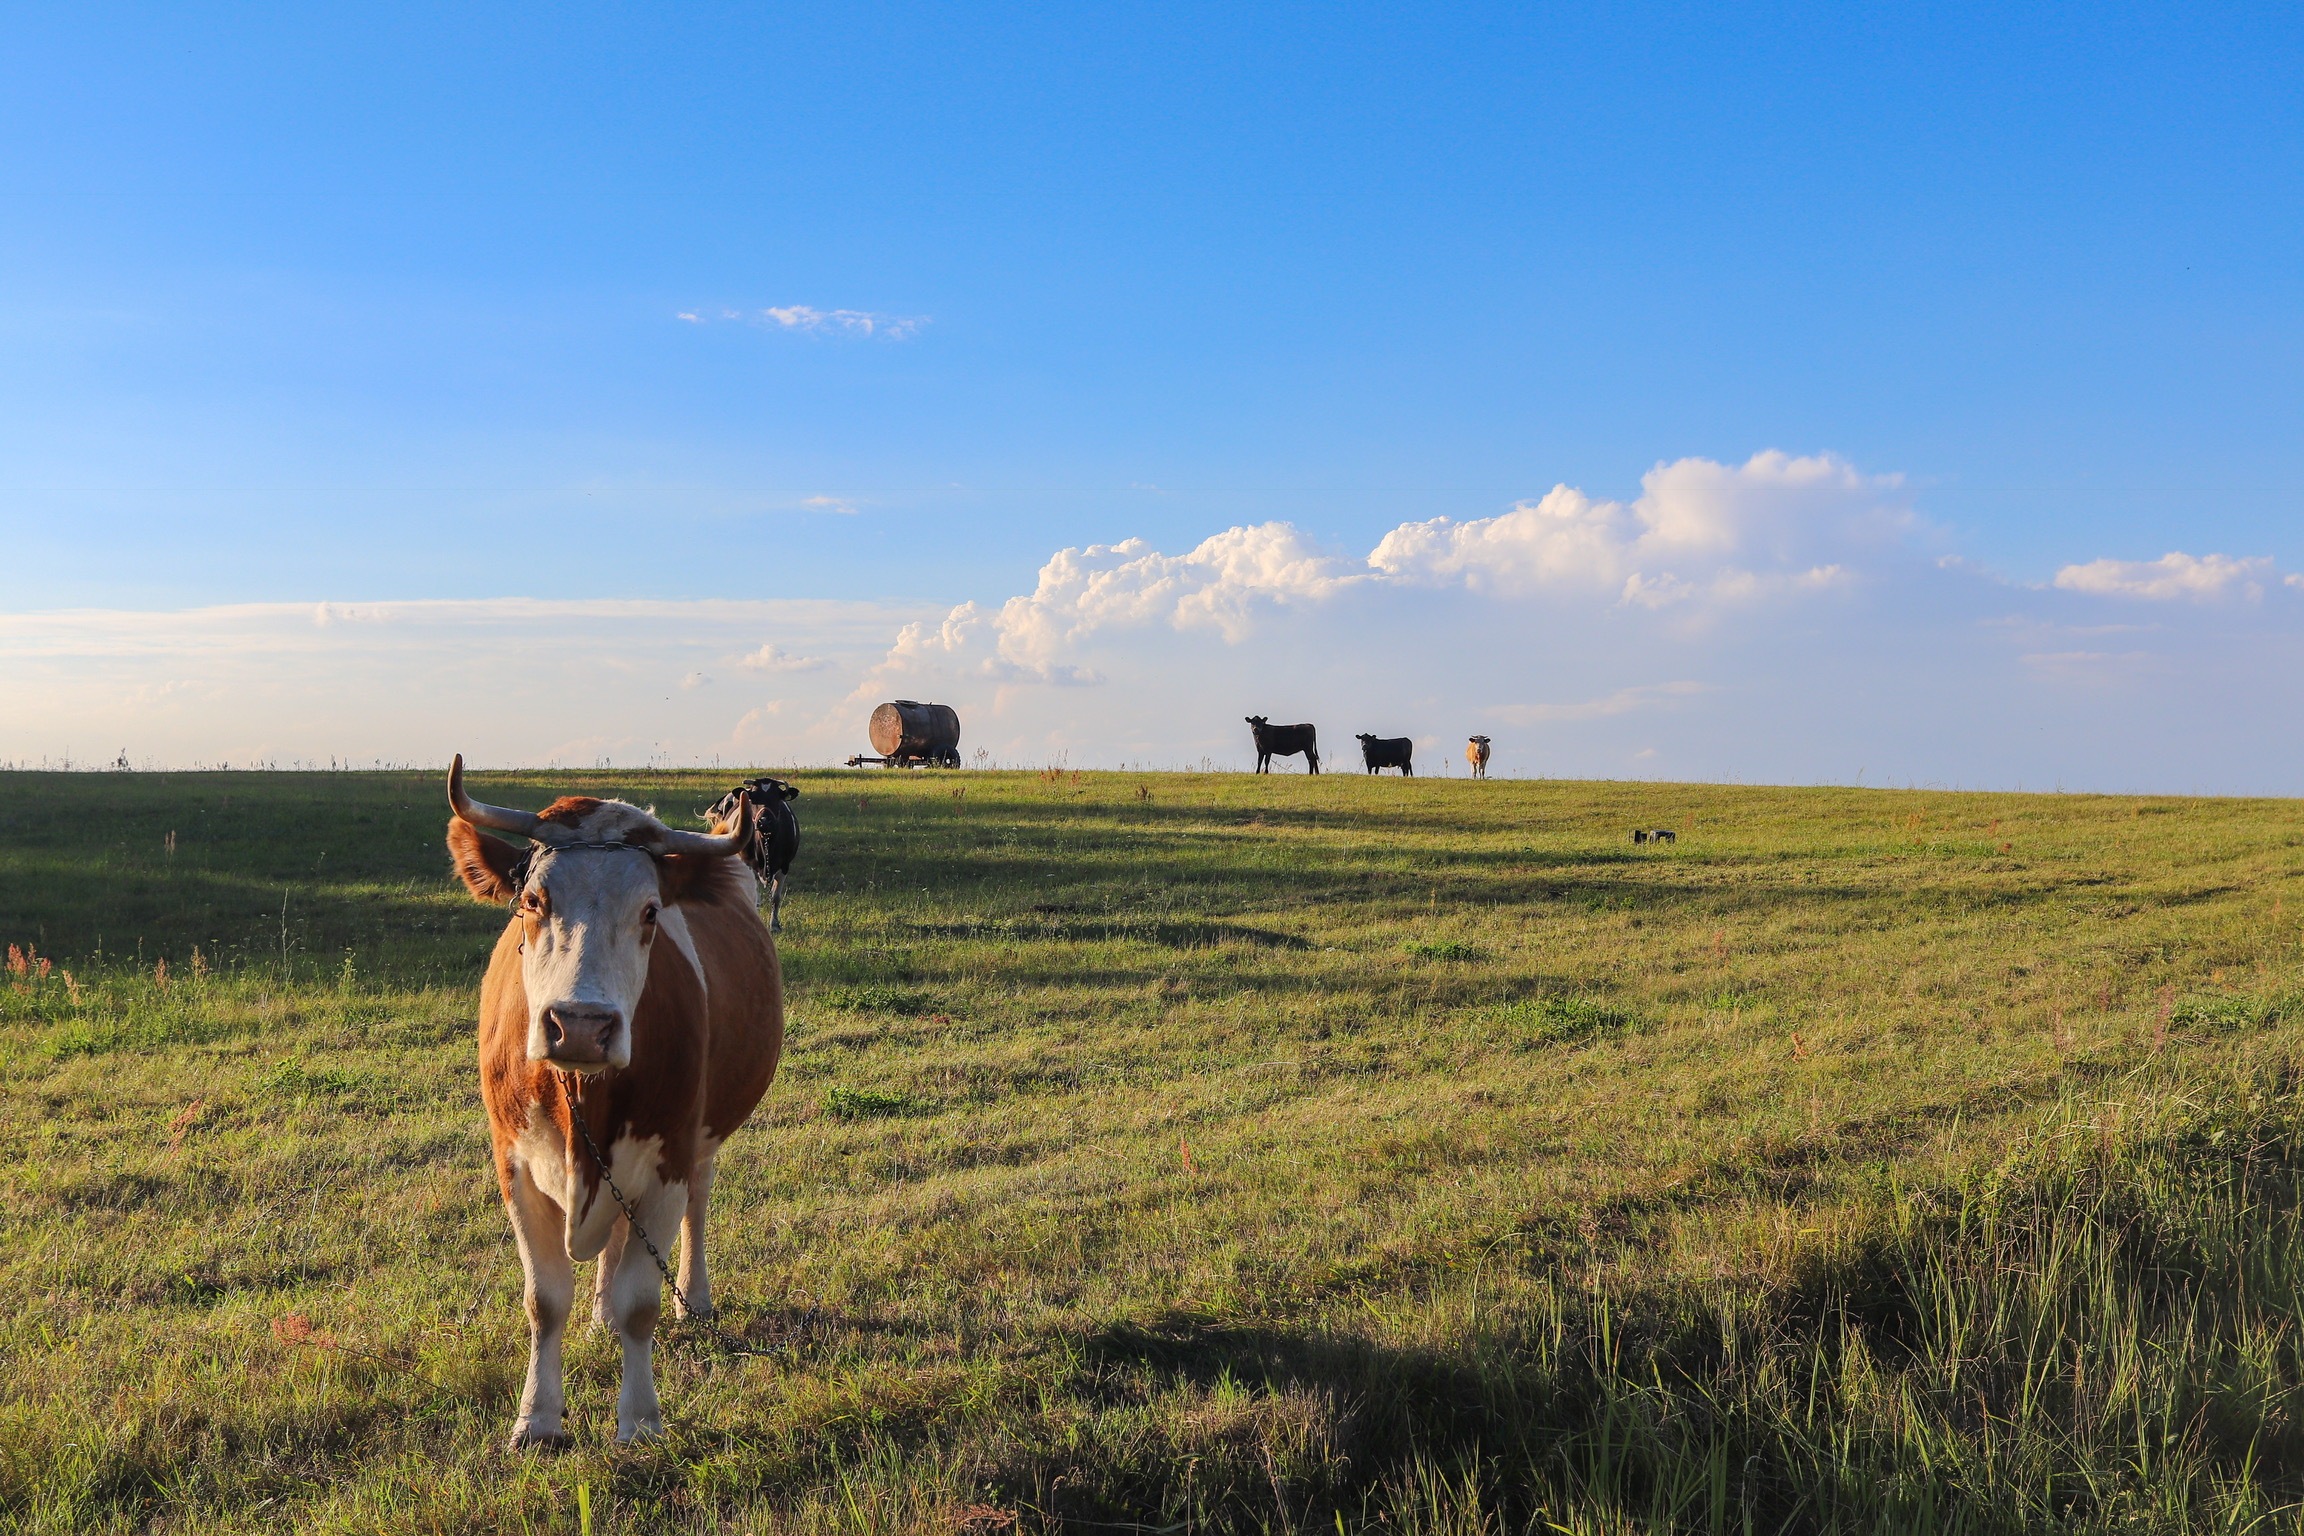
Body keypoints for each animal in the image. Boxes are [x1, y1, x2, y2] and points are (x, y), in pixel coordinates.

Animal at [445, 756, 783, 1449]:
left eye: (650, 912)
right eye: (532, 901)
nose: (580, 1025)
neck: (582, 1094)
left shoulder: (670, 1156)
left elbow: (640, 1303)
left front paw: (641, 1419)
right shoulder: (514, 1164)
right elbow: (545, 1299)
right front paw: (537, 1419)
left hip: (700, 1143)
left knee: (696, 1210)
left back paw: (693, 1300)